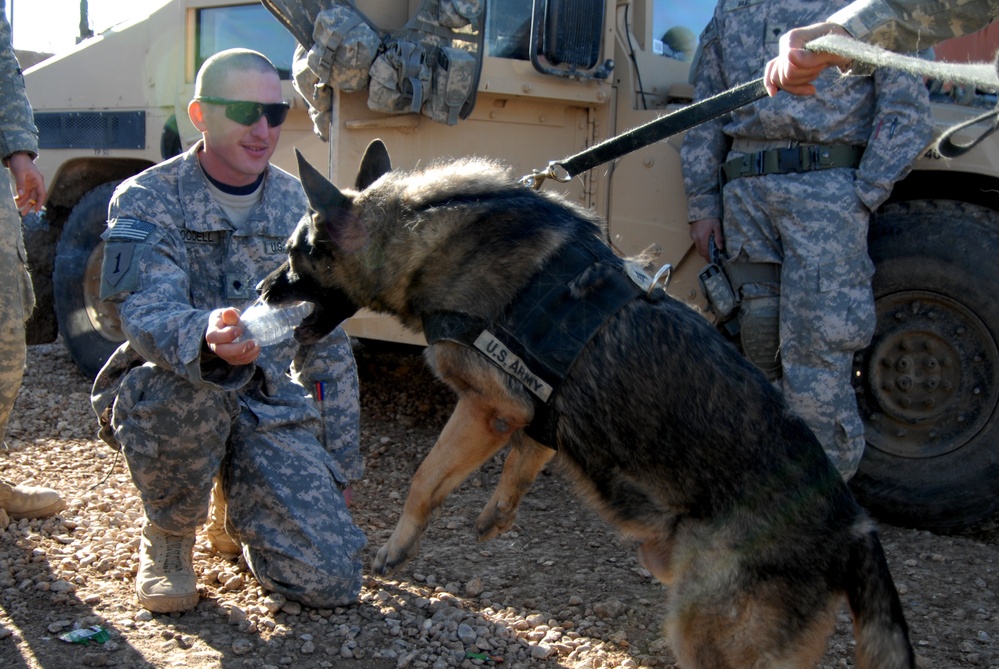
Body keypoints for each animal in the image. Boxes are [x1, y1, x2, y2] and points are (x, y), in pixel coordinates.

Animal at [262, 141, 916, 668]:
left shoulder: (487, 408)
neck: (414, 232)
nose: (261, 290)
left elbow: (424, 480)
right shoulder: (534, 419)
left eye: (293, 253)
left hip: (705, 634)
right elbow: (521, 465)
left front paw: (398, 548)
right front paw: (496, 516)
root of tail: (854, 529)